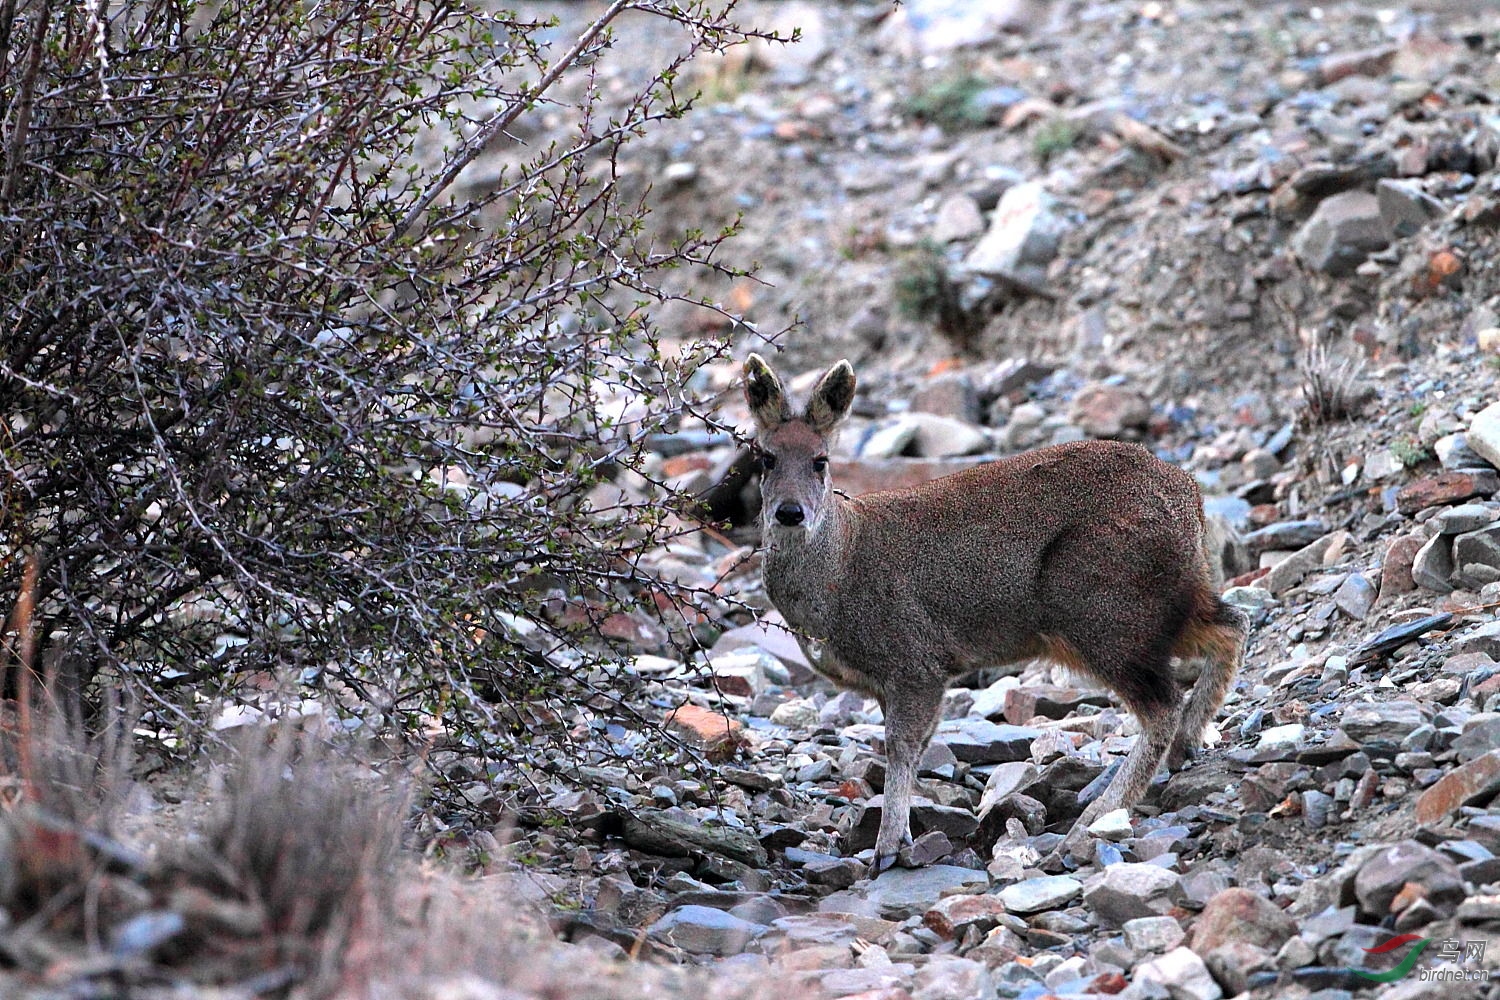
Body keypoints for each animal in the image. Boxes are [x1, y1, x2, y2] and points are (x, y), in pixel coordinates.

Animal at [744, 355, 1248, 869]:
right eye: (764, 459)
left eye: (820, 460)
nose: (789, 512)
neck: (839, 569)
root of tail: (1190, 498)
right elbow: (916, 747)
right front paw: (902, 834)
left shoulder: (913, 658)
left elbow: (901, 747)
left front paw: (887, 848)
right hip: (1165, 602)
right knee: (1233, 624)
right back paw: (1187, 744)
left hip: (1102, 607)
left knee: (1163, 704)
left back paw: (1094, 819)